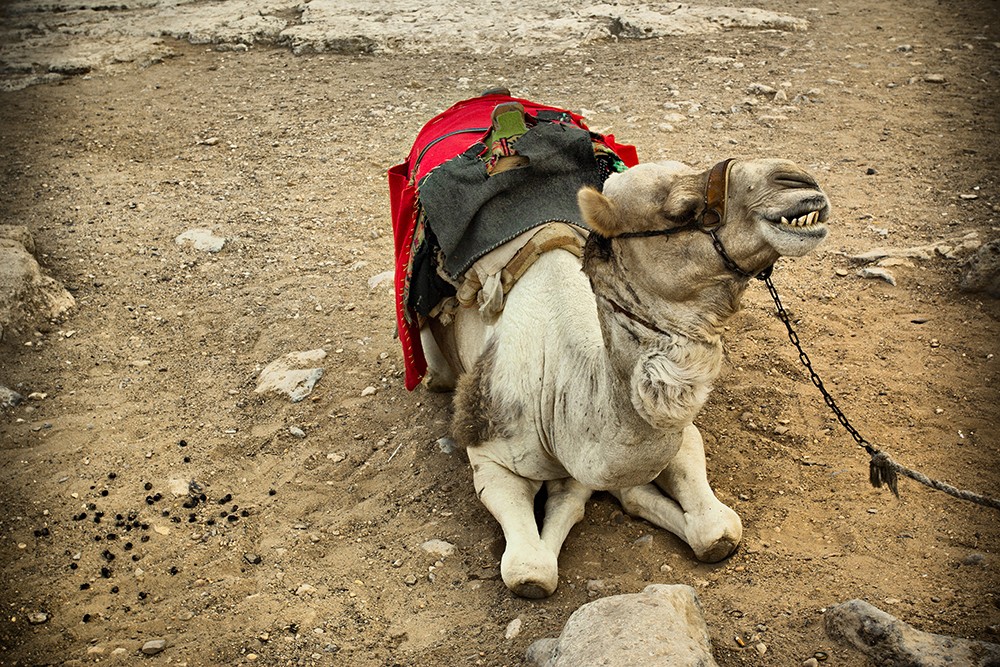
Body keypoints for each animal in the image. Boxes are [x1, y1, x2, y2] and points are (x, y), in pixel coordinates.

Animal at [408, 117, 831, 598]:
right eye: (681, 208)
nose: (798, 179)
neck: (561, 383)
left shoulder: (672, 440)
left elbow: (717, 530)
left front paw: (635, 497)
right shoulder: (490, 455)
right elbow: (531, 571)